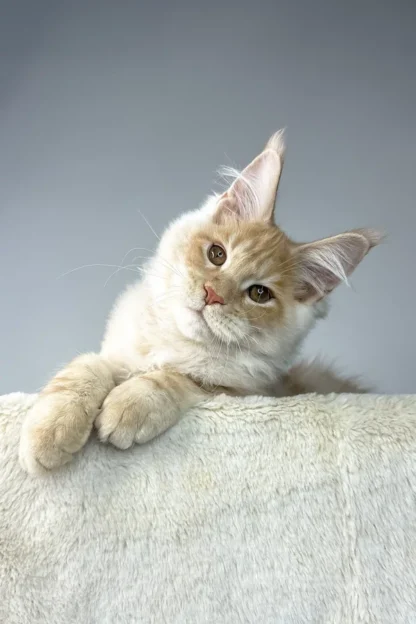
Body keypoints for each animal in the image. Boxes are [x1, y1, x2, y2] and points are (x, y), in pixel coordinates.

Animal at [21, 132, 382, 472]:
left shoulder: (245, 394)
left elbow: (176, 378)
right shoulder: (115, 355)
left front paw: (128, 406)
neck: (175, 341)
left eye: (259, 294)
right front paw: (50, 430)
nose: (213, 294)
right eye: (217, 254)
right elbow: (85, 367)